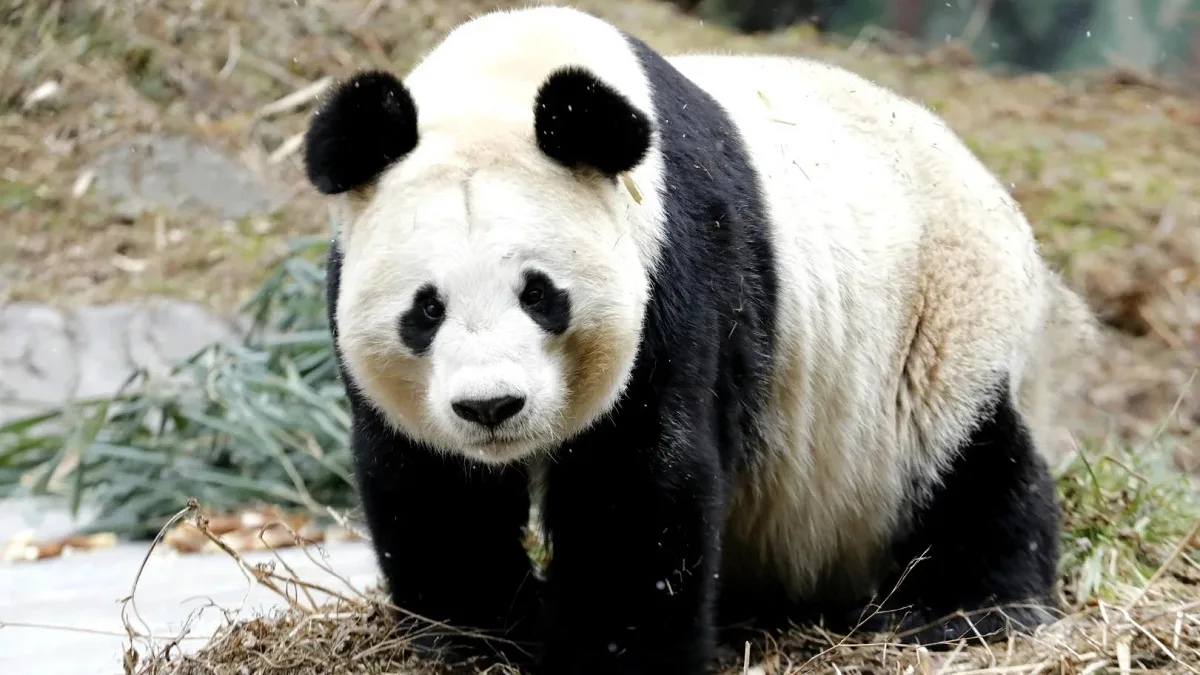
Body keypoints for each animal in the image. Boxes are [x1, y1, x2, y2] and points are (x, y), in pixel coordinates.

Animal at [302, 5, 1096, 674]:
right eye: (426, 309)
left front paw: (610, 654)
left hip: (940, 322)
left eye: (540, 295)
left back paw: (968, 611)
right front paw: (472, 635)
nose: (491, 407)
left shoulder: (679, 268)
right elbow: (430, 483)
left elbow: (639, 482)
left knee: (971, 466)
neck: (507, 78)